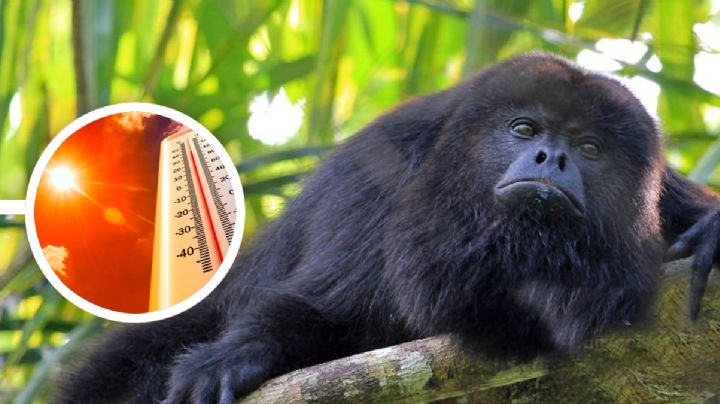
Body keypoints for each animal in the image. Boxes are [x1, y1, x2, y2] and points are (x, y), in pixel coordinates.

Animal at [55, 52, 719, 403]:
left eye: (589, 147)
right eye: (525, 129)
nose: (551, 158)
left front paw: (713, 232)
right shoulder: (381, 181)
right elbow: (319, 309)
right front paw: (235, 355)